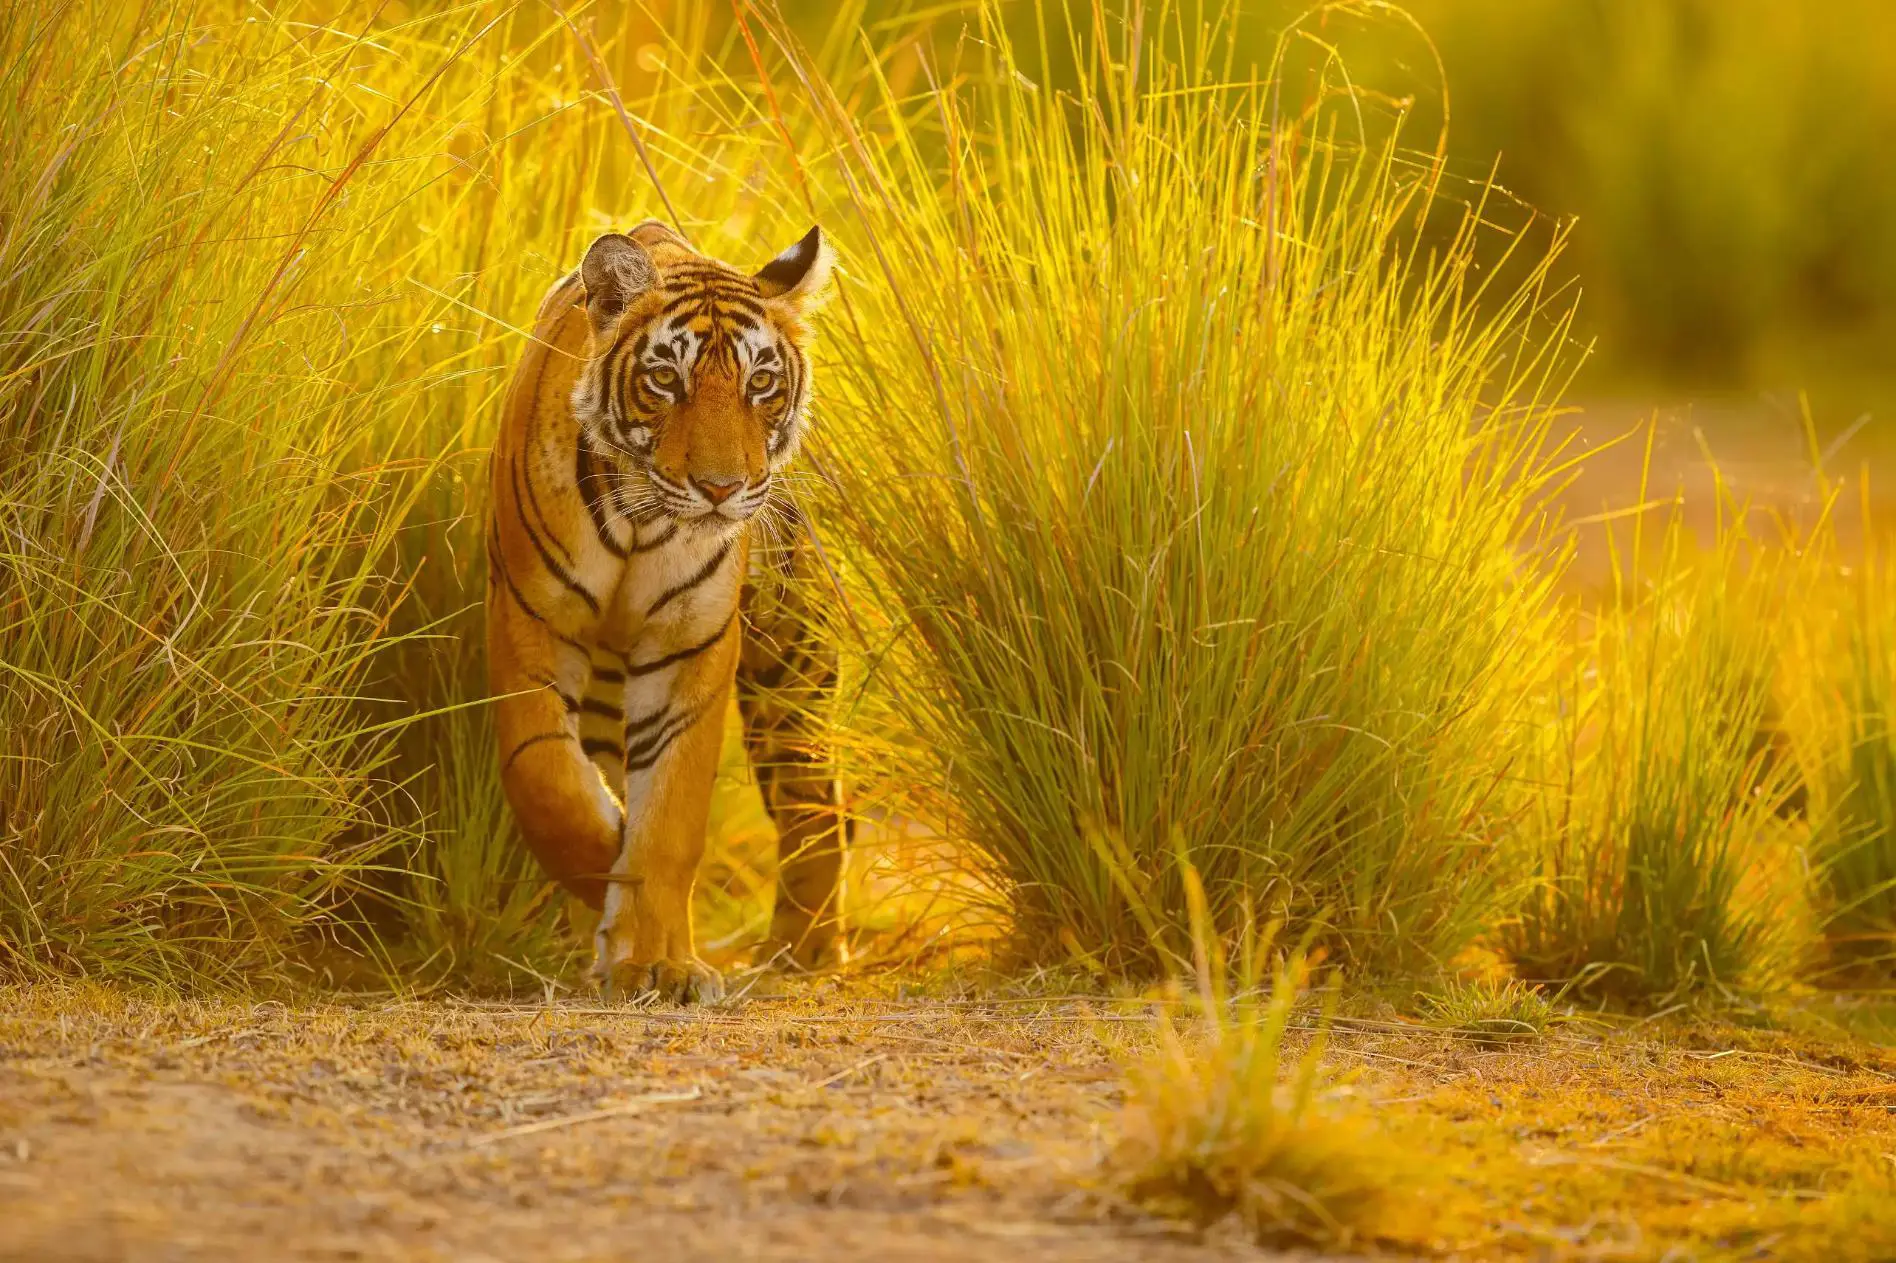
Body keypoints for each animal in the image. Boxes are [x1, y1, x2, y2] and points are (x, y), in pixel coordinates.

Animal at [485, 219, 847, 1004]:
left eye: (760, 383)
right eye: (665, 380)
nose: (721, 488)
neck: (641, 521)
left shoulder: (690, 646)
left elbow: (670, 815)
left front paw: (657, 963)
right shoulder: (531, 622)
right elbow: (549, 781)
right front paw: (607, 871)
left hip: (792, 662)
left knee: (817, 802)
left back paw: (802, 949)